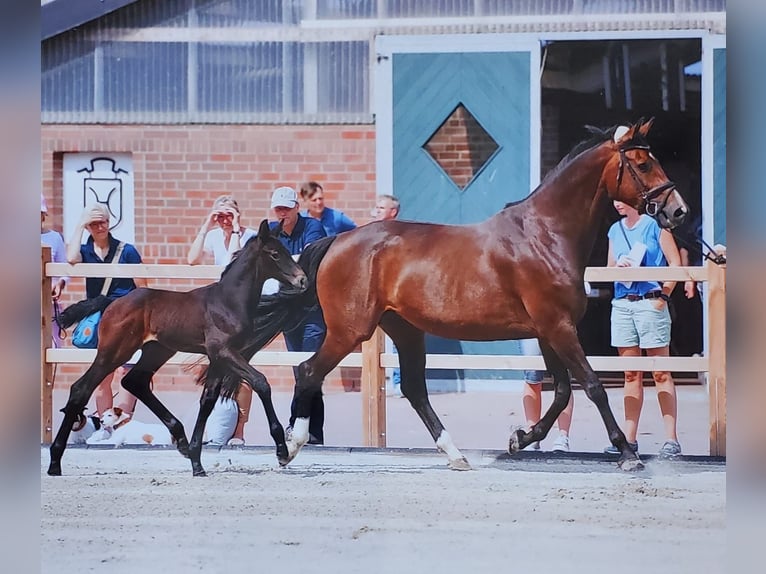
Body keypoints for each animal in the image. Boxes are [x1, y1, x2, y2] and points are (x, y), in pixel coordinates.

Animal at [47, 219, 308, 476]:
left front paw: (196, 461)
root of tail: (113, 302)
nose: (302, 280)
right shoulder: (224, 351)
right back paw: (54, 461)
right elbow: (261, 382)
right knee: (81, 388)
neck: (227, 302)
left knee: (134, 381)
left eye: (287, 251)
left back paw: (180, 439)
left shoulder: (217, 358)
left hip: (156, 351)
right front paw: (282, 451)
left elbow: (208, 400)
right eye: (275, 254)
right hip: (114, 352)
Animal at [200, 118, 689, 473]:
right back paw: (292, 446)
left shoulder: (550, 330)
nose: (678, 211)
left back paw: (455, 454)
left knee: (414, 389)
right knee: (307, 372)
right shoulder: (557, 326)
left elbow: (564, 392)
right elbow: (591, 386)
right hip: (350, 330)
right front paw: (627, 453)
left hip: (404, 330)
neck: (545, 234)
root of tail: (339, 240)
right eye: (643, 164)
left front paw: (520, 439)